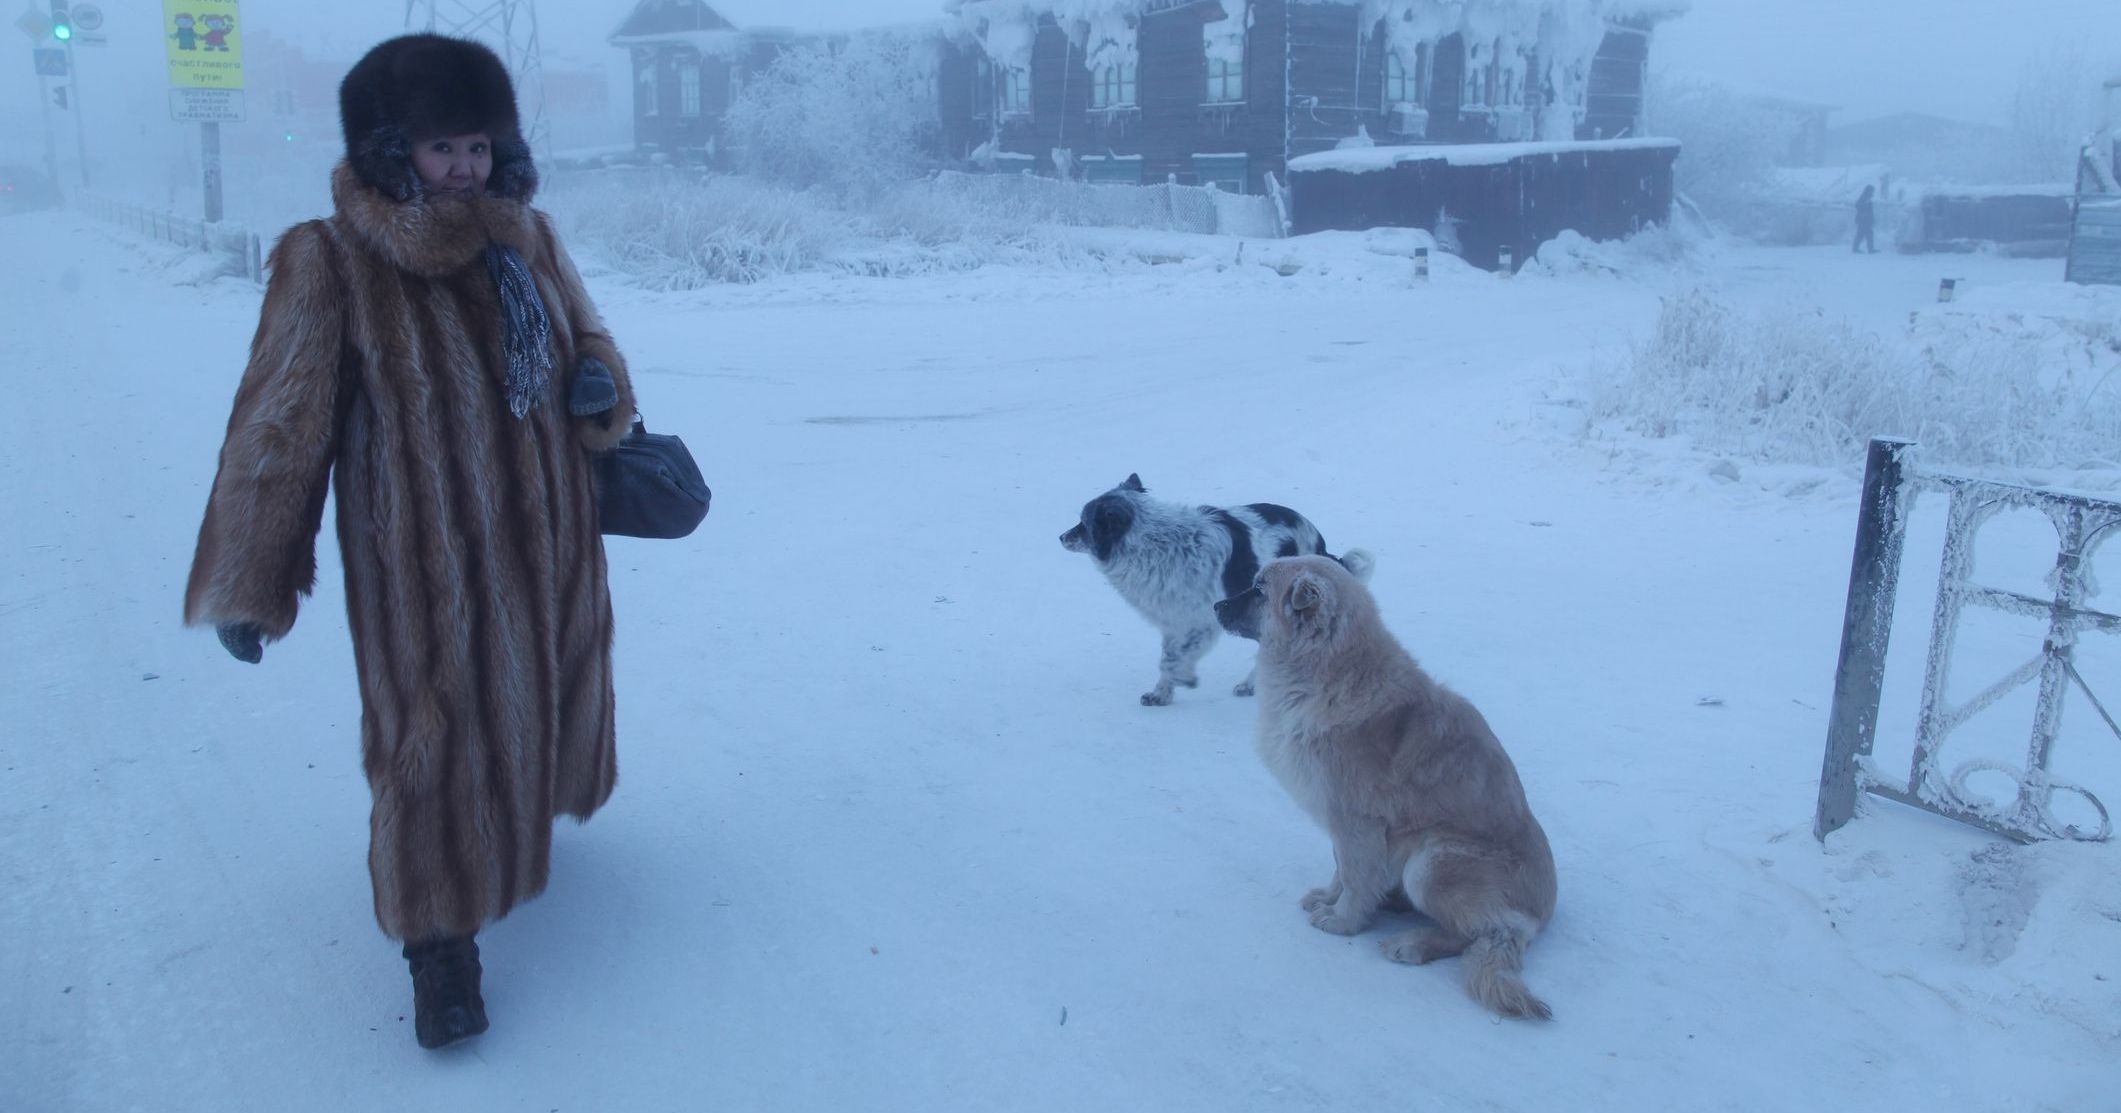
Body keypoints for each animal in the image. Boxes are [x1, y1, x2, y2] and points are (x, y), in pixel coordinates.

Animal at [1213, 555, 1561, 1013]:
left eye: (1259, 590)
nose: (1216, 605)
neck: (1329, 672)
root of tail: (1538, 916)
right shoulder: (1343, 826)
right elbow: (1341, 869)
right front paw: (1330, 898)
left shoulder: (1355, 822)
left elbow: (1356, 877)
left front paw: (1343, 920)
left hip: (1432, 861)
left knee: (1477, 932)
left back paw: (1412, 944)